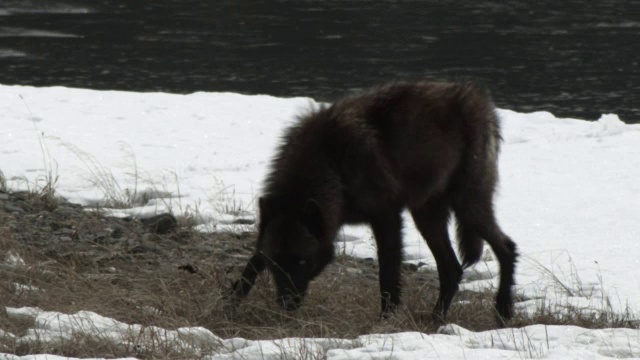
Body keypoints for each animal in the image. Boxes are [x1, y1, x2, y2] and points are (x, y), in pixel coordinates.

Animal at [228, 80, 516, 322]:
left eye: (301, 262)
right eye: (276, 264)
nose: (286, 306)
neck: (333, 166)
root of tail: (479, 99)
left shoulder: (387, 217)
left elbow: (387, 274)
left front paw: (386, 320)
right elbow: (251, 263)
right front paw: (229, 303)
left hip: (467, 208)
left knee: (506, 247)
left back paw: (502, 311)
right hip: (427, 216)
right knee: (452, 268)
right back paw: (436, 320)